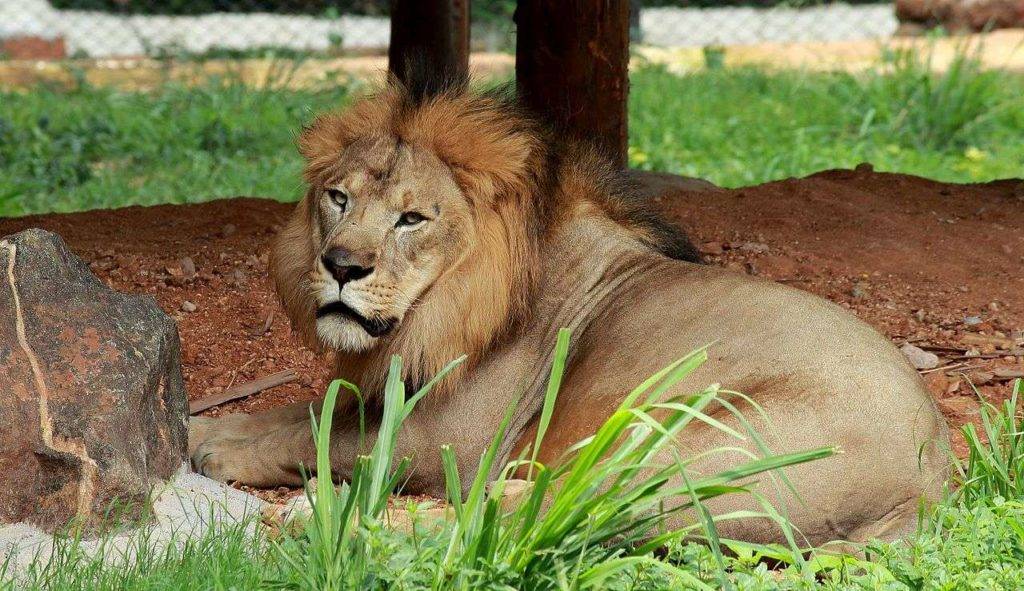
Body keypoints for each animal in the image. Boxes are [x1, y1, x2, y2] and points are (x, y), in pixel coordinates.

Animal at [188, 73, 946, 544]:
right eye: (338, 198)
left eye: (411, 218)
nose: (342, 266)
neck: (444, 306)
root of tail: (930, 477)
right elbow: (304, 411)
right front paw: (207, 428)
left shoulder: (453, 434)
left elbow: (325, 433)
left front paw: (218, 447)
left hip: (675, 442)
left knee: (538, 512)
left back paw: (328, 518)